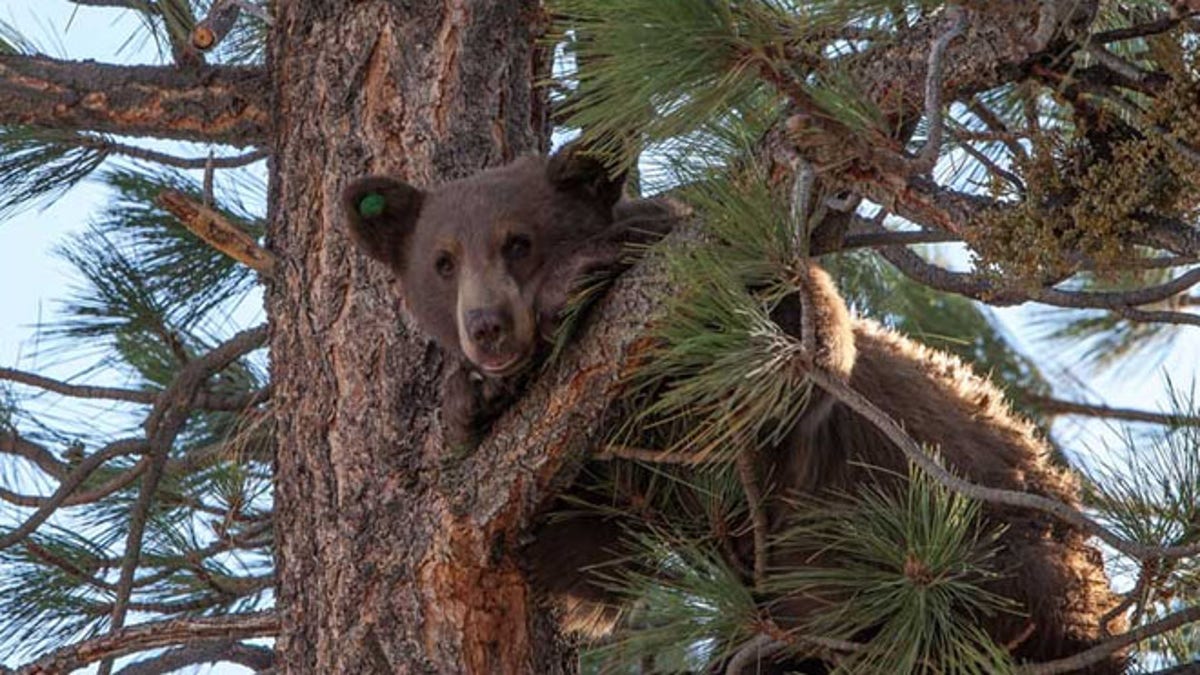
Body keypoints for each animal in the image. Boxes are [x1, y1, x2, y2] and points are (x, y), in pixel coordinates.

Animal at [342, 150, 1123, 673]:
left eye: (519, 241)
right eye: (442, 260)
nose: (488, 328)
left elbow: (804, 341)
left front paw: (578, 279)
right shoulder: (609, 459)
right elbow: (588, 557)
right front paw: (472, 399)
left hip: (1002, 547)